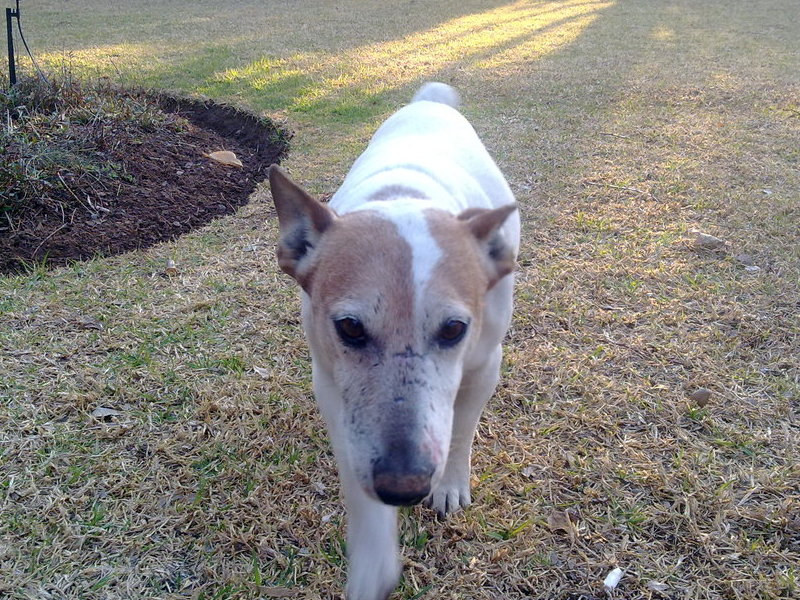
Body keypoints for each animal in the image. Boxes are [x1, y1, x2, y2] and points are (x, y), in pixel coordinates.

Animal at [268, 83, 520, 600]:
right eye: (349, 327)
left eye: (453, 329)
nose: (404, 488)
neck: (406, 198)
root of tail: (430, 101)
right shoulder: (331, 384)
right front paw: (372, 561)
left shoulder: (485, 365)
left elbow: (461, 430)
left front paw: (450, 485)